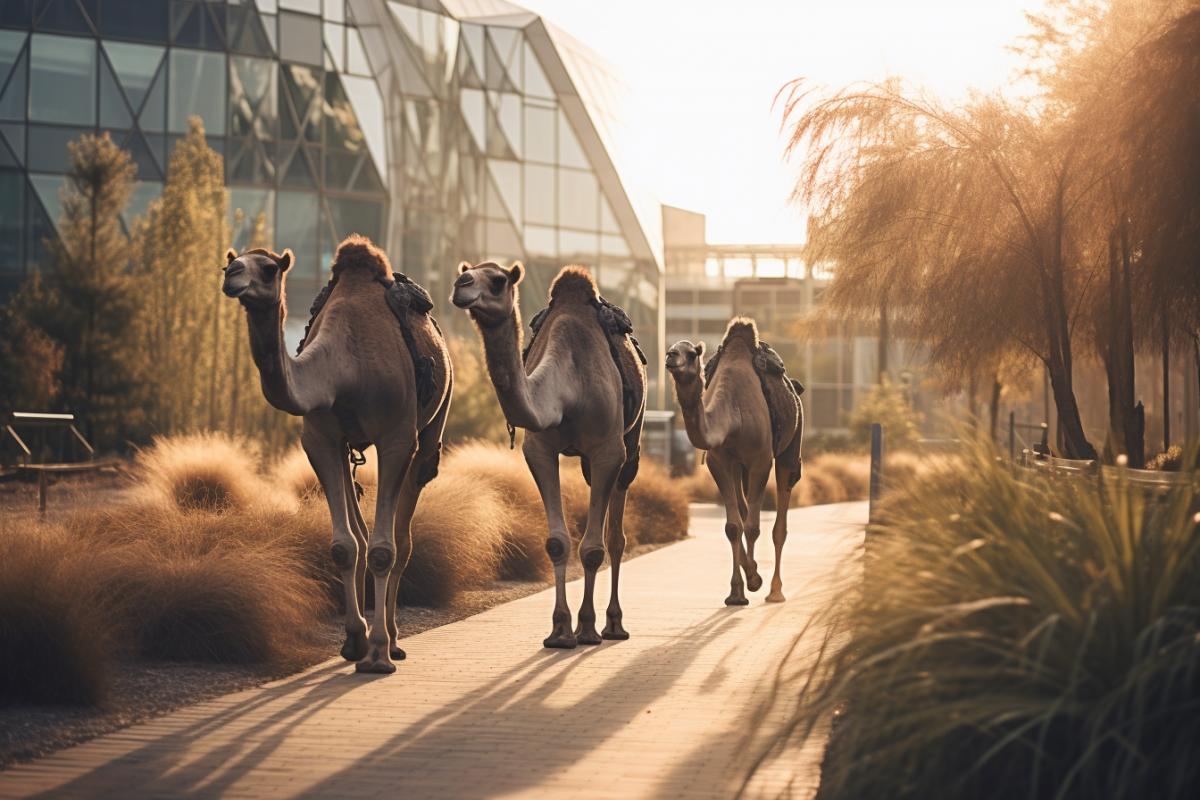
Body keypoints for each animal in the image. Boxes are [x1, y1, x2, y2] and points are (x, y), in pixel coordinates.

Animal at [222, 236, 451, 674]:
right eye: (232, 261)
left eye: (270, 269)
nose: (232, 276)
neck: (345, 364)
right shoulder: (320, 438)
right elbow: (346, 546)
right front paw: (354, 641)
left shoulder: (397, 438)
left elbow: (384, 549)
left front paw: (377, 652)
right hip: (348, 449)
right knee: (362, 532)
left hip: (431, 430)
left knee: (403, 536)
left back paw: (394, 639)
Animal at [452, 262, 645, 649]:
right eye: (468, 269)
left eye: (498, 280)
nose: (461, 284)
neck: (568, 388)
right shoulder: (539, 449)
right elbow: (557, 543)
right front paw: (560, 630)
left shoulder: (607, 449)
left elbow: (593, 548)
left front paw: (586, 628)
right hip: (586, 462)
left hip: (630, 445)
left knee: (616, 536)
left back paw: (613, 625)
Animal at [666, 318, 803, 604]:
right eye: (671, 348)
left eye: (691, 353)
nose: (670, 356)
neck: (733, 415)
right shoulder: (720, 462)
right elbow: (732, 526)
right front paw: (737, 591)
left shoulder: (761, 461)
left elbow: (752, 527)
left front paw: (754, 580)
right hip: (740, 467)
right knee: (742, 509)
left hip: (790, 447)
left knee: (780, 523)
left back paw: (775, 591)